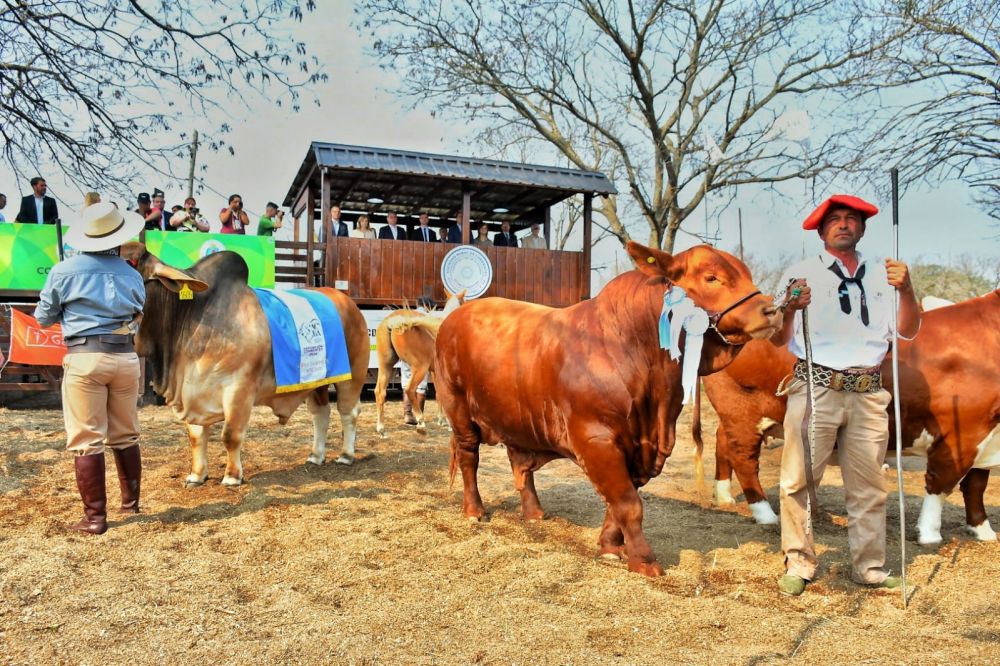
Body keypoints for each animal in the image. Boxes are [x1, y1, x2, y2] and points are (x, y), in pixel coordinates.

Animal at [121, 243, 370, 482]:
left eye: (129, 266)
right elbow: (196, 437)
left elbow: (231, 435)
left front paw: (232, 476)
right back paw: (316, 455)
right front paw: (197, 475)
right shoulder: (190, 392)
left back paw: (346, 455)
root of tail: (348, 302)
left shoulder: (238, 389)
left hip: (352, 376)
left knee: (348, 412)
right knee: (321, 413)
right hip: (315, 382)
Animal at [436, 241, 780, 572]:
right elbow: (628, 503)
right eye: (711, 277)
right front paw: (644, 560)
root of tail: (458, 314)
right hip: (458, 408)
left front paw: (611, 546)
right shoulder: (597, 439)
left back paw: (534, 512)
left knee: (518, 460)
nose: (771, 310)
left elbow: (621, 500)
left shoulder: (639, 445)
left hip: (517, 415)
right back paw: (474, 510)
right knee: (469, 457)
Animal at [696, 288, 1000, 544]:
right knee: (744, 458)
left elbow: (976, 484)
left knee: (722, 442)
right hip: (741, 411)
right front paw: (929, 534)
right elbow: (942, 484)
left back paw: (723, 495)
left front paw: (983, 530)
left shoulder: (988, 432)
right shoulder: (963, 432)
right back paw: (765, 514)